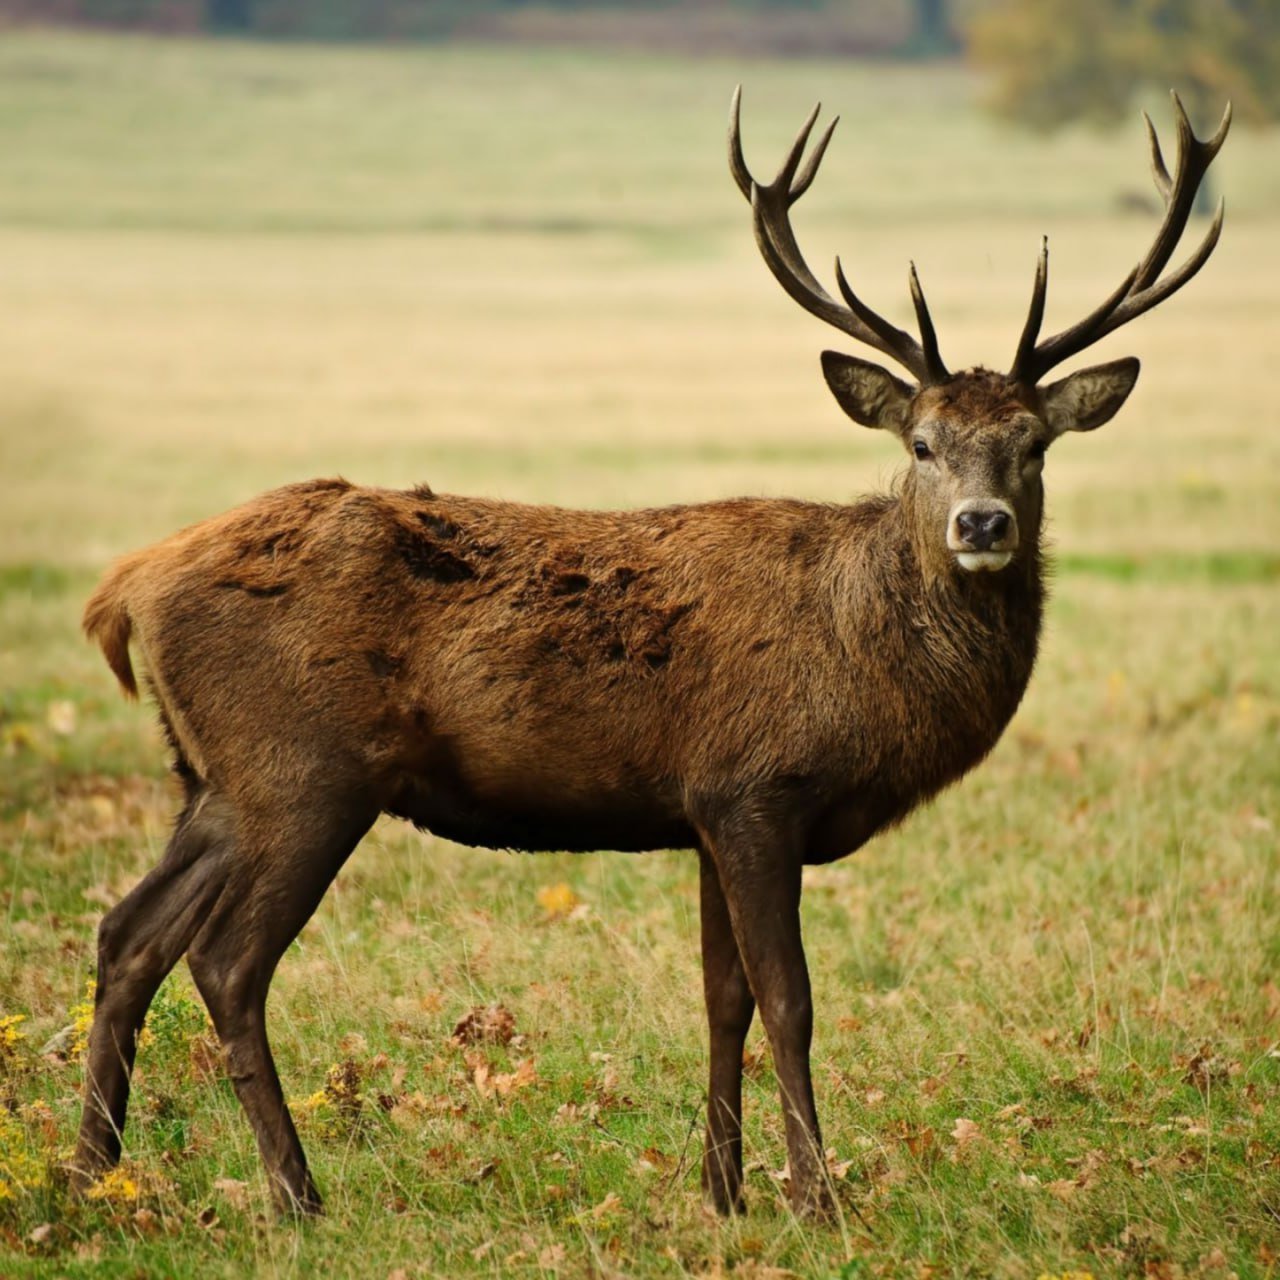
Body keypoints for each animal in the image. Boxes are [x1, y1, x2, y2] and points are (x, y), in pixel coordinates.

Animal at [72, 92, 1228, 1218]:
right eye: (921, 444)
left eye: (1034, 443)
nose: (982, 524)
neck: (860, 658)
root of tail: (127, 586)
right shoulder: (758, 786)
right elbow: (789, 998)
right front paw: (818, 1199)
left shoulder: (705, 808)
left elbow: (723, 999)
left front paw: (721, 1192)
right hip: (302, 769)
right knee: (226, 962)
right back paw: (296, 1194)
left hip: (214, 778)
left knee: (128, 933)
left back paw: (91, 1177)